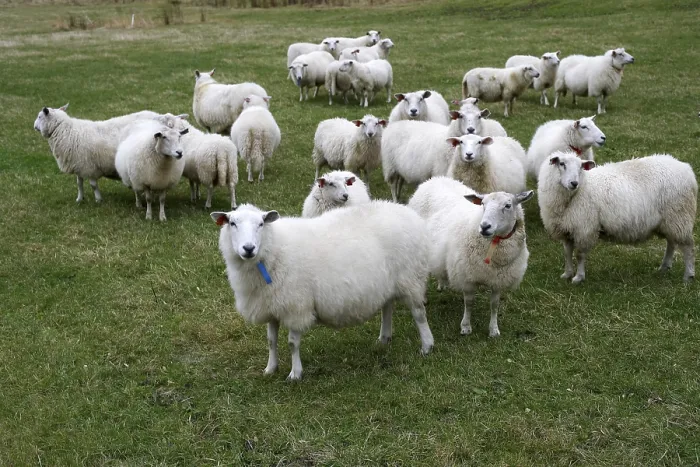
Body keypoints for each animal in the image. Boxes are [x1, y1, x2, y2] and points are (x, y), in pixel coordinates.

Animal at [33, 104, 164, 203]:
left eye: (39, 116)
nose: (34, 127)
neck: (65, 131)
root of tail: (161, 116)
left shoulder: (89, 167)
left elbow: (93, 185)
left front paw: (98, 200)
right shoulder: (79, 165)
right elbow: (79, 183)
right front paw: (79, 199)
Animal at [210, 200, 434, 380]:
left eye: (261, 224)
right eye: (232, 223)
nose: (248, 249)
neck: (273, 248)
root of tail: (408, 211)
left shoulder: (296, 305)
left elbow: (292, 343)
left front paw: (295, 374)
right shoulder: (272, 305)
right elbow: (271, 341)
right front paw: (270, 368)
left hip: (411, 278)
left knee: (419, 313)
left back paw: (427, 346)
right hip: (388, 282)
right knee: (387, 308)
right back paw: (384, 339)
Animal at [408, 177, 533, 337]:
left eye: (508, 205)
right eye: (483, 204)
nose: (485, 226)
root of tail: (433, 179)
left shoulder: (498, 279)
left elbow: (494, 305)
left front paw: (494, 329)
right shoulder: (467, 277)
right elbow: (469, 303)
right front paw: (466, 327)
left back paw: (442, 283)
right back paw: (423, 298)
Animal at [538, 151, 696, 284]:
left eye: (581, 167)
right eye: (562, 164)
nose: (574, 183)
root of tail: (686, 168)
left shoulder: (584, 228)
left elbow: (580, 255)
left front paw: (578, 277)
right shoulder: (567, 228)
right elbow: (567, 253)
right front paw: (567, 274)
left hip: (680, 216)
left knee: (688, 247)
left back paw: (688, 276)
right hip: (671, 221)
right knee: (671, 243)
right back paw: (664, 267)